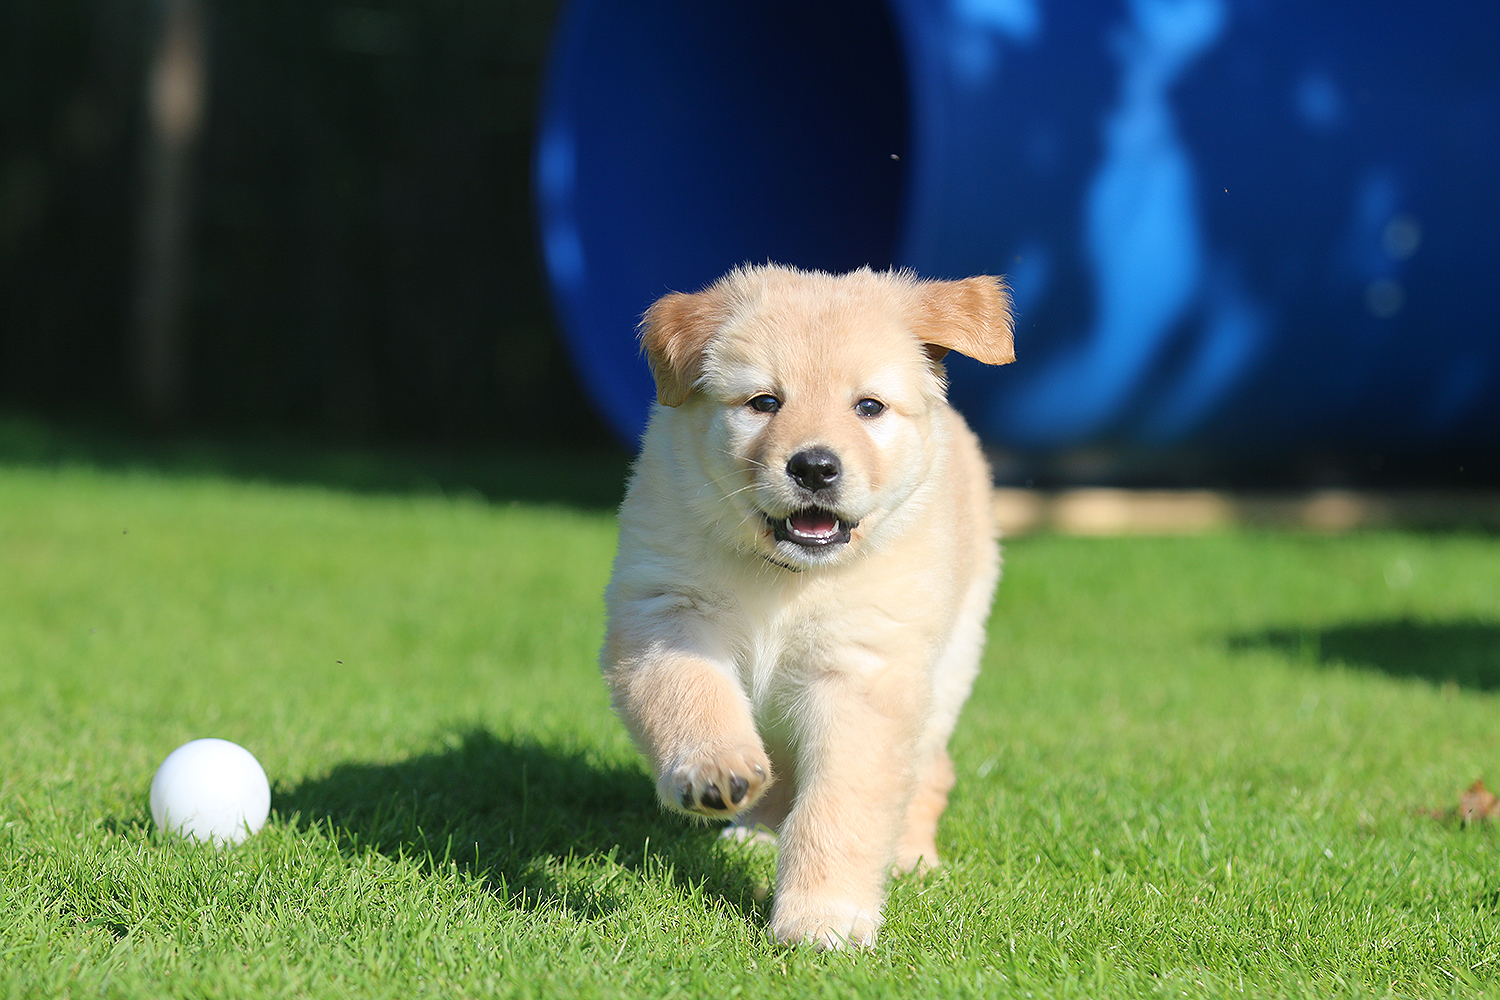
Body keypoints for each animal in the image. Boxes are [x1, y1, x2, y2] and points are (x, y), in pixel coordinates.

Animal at [600, 263, 1014, 948]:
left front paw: (824, 918)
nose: (815, 467)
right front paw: (714, 769)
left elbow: (839, 807)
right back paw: (752, 829)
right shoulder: (667, 609)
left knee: (929, 772)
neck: (787, 576)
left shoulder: (864, 669)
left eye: (868, 406)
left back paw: (912, 855)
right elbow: (689, 691)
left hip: (951, 664)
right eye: (765, 402)